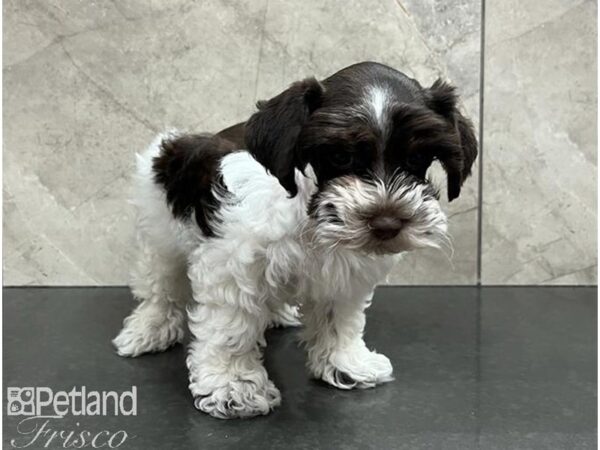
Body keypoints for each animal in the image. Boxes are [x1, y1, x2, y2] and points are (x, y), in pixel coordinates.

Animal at [112, 60, 478, 418]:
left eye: (416, 158)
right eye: (340, 156)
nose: (387, 223)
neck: (310, 212)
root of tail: (174, 144)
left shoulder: (345, 273)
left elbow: (339, 319)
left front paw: (345, 363)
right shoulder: (233, 265)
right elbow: (231, 328)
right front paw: (234, 387)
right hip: (159, 231)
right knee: (160, 287)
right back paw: (149, 329)